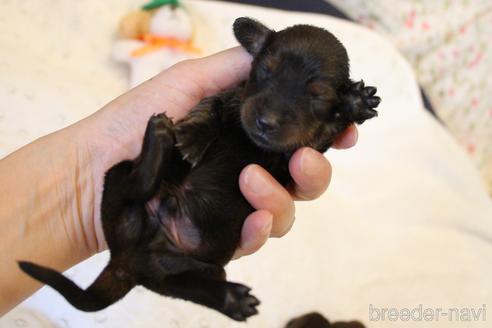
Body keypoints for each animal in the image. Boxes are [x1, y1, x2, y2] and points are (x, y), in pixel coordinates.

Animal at [18, 17, 380, 320]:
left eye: (317, 94)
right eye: (265, 70)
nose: (266, 122)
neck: (252, 138)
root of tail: (127, 261)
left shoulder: (297, 157)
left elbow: (321, 132)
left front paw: (353, 103)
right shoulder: (229, 96)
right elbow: (209, 108)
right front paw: (191, 137)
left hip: (196, 268)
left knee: (188, 286)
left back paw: (232, 300)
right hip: (118, 178)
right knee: (135, 184)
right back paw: (160, 138)